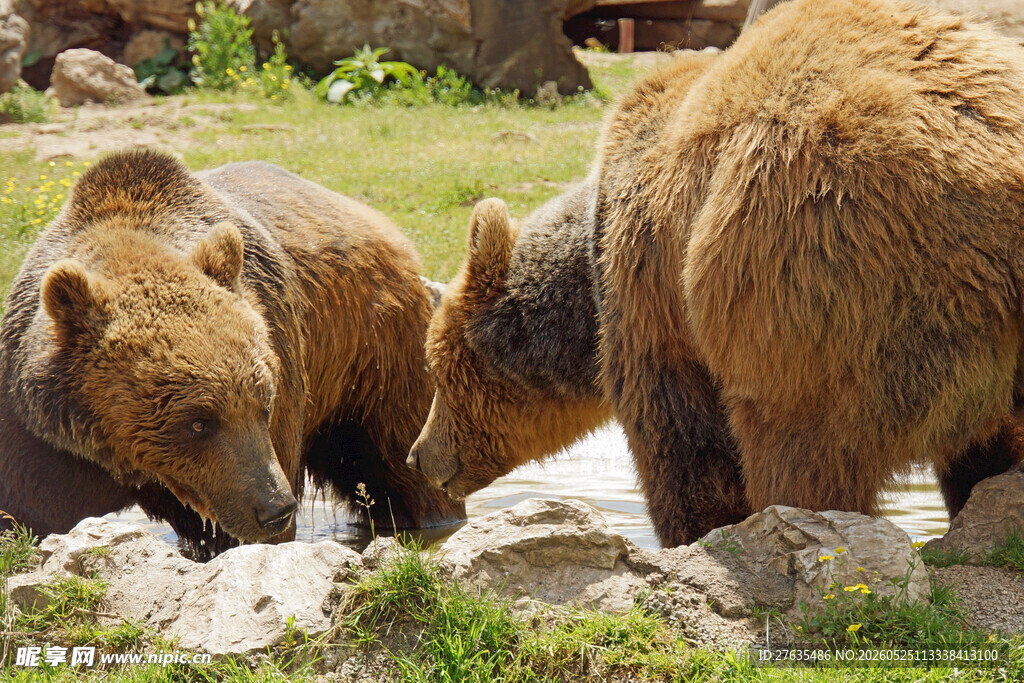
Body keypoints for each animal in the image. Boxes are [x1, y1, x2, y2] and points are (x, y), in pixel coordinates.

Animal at [0, 149, 465, 559]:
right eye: (198, 422)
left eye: (265, 404)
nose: (276, 508)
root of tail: (383, 227)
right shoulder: (45, 432)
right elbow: (27, 506)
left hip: (373, 356)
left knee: (402, 464)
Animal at [408, 0, 1024, 547]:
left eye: (437, 372)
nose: (420, 455)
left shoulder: (651, 299)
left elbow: (684, 443)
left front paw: (697, 534)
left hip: (824, 285)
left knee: (804, 451)